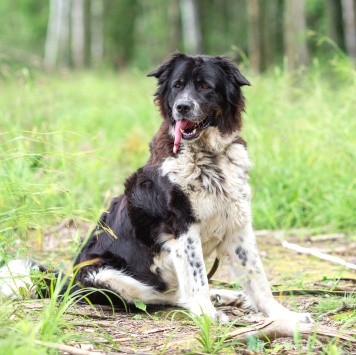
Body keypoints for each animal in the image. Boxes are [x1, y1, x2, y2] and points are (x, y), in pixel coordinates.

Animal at [0, 53, 312, 326]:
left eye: (205, 86)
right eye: (177, 86)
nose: (182, 107)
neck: (208, 158)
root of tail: (67, 283)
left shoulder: (237, 226)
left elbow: (258, 279)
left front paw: (285, 316)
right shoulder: (182, 228)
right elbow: (197, 279)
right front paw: (208, 316)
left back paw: (224, 295)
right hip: (105, 274)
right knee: (165, 296)